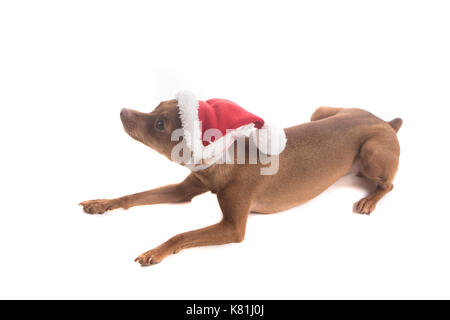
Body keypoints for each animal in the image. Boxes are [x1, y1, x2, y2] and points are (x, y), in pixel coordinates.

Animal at [79, 99, 402, 264]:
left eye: (160, 124)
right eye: (156, 105)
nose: (123, 111)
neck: (223, 159)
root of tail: (385, 121)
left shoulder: (233, 227)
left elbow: (180, 235)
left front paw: (154, 251)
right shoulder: (184, 191)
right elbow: (133, 196)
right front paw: (101, 203)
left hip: (372, 151)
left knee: (388, 184)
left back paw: (368, 200)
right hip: (320, 112)